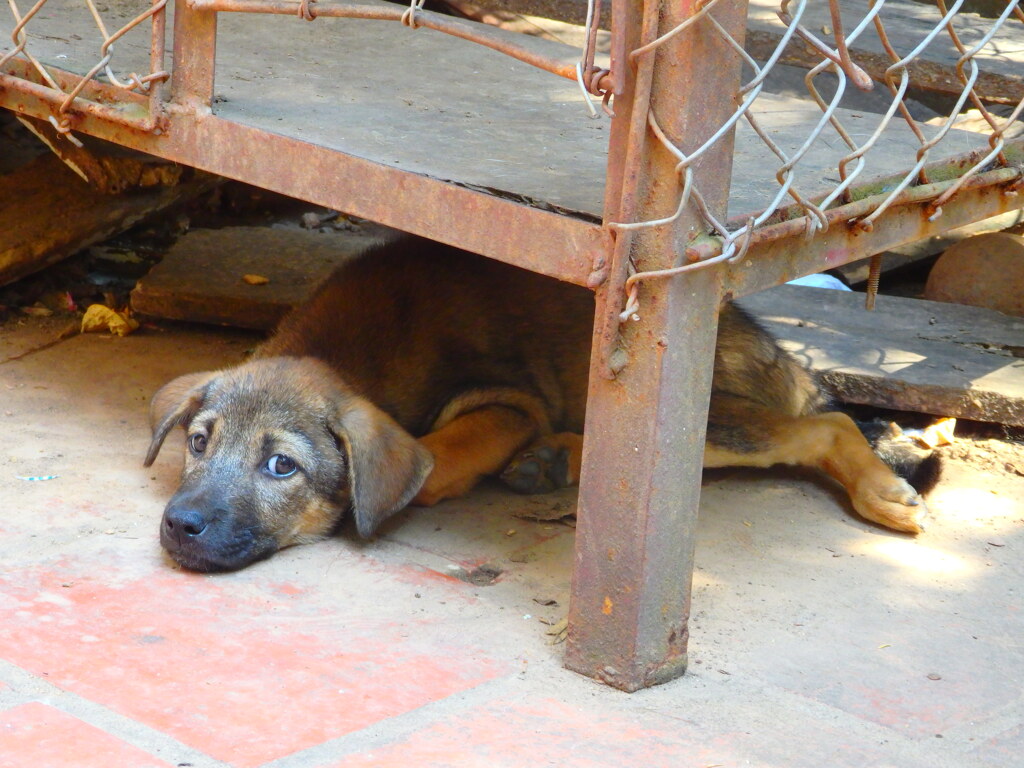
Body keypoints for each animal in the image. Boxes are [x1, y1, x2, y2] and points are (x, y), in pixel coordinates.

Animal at [146, 234, 929, 573]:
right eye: (198, 443)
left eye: (282, 466)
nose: (180, 526)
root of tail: (744, 328)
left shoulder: (507, 399)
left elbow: (433, 460)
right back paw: (556, 459)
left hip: (688, 423)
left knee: (826, 423)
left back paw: (885, 491)